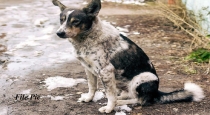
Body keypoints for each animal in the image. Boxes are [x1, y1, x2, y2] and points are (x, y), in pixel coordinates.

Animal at [51, 0, 204, 113]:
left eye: (75, 21)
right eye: (62, 20)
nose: (59, 33)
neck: (86, 39)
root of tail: (156, 92)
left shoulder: (106, 71)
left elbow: (110, 95)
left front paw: (109, 108)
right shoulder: (89, 68)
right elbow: (92, 87)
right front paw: (89, 98)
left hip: (142, 77)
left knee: (139, 100)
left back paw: (121, 102)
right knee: (127, 94)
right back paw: (121, 97)